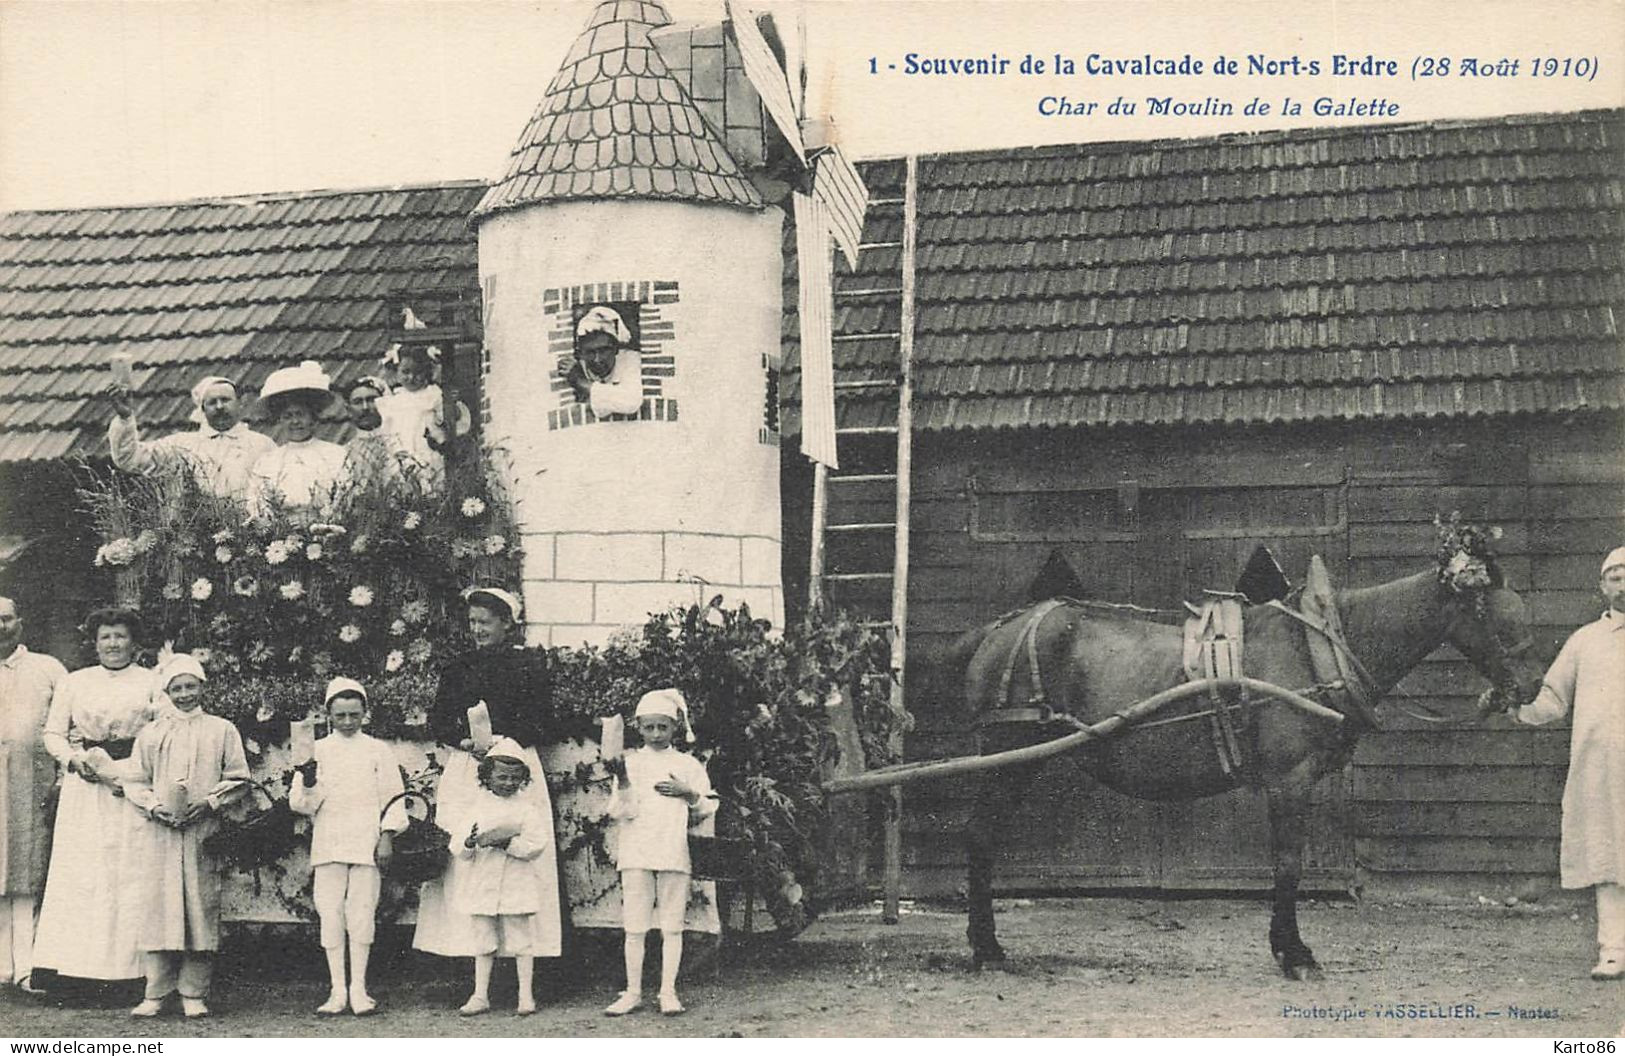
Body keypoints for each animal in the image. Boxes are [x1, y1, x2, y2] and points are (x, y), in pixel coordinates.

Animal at [949, 526, 1547, 981]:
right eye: (1497, 615)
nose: (1533, 688)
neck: (1320, 649)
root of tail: (998, 629)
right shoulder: (1291, 780)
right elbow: (1287, 865)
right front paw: (1296, 954)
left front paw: (1286, 948)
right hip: (1010, 754)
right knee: (979, 836)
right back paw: (987, 949)